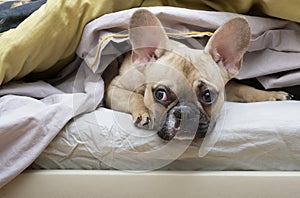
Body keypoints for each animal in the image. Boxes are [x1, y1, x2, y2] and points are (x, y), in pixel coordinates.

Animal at [104, 8, 292, 140]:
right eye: (160, 94)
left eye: (208, 95)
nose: (186, 113)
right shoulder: (113, 89)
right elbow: (134, 96)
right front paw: (144, 112)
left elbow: (243, 89)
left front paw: (272, 95)